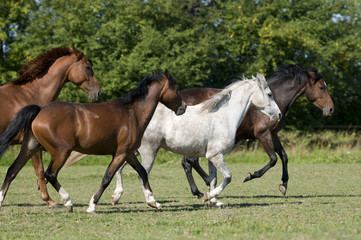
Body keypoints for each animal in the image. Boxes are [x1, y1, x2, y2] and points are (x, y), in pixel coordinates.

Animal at [0, 47, 100, 208]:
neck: (31, 93)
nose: (98, 92)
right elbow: (40, 171)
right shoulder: (33, 145)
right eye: (88, 67)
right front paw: (50, 200)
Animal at [0, 70, 186, 213]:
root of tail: (39, 110)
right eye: (176, 88)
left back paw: (1, 200)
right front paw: (92, 205)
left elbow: (142, 172)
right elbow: (107, 177)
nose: (183, 107)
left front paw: (153, 202)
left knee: (12, 171)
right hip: (61, 152)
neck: (132, 113)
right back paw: (68, 202)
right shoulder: (121, 153)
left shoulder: (128, 153)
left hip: (30, 148)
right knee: (49, 174)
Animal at [111, 73, 280, 206]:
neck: (224, 117)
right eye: (269, 94)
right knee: (142, 175)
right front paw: (208, 197)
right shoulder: (216, 156)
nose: (278, 115)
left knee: (120, 169)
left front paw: (215, 201)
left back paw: (116, 197)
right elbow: (227, 177)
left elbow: (213, 179)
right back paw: (151, 202)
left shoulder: (212, 157)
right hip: (148, 152)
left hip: (133, 152)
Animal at [162, 64, 334, 200]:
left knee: (187, 163)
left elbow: (284, 156)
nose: (331, 109)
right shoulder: (263, 134)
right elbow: (273, 159)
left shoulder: (273, 134)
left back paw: (199, 190)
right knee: (190, 162)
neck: (274, 100)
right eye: (321, 87)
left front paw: (284, 185)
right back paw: (205, 187)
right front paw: (249, 176)